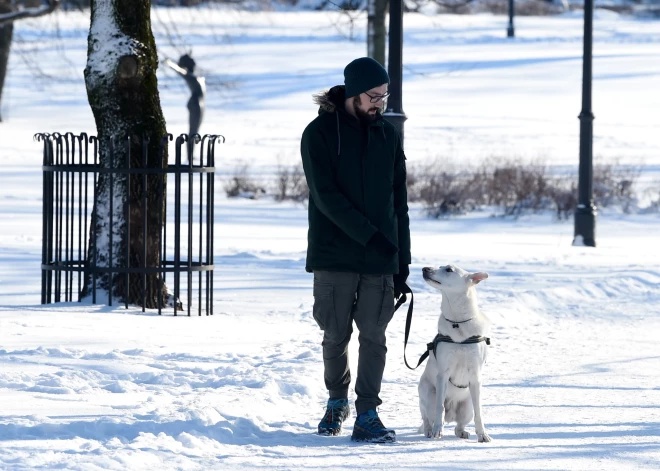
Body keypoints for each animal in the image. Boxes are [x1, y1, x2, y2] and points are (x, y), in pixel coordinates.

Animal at [418, 266, 490, 442]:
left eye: (449, 269)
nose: (425, 268)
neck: (457, 323)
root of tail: (451, 415)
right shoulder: (443, 374)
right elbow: (439, 407)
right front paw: (437, 430)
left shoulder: (475, 377)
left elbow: (479, 412)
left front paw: (483, 434)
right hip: (426, 395)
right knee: (427, 416)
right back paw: (430, 430)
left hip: (467, 406)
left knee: (459, 426)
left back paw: (463, 432)